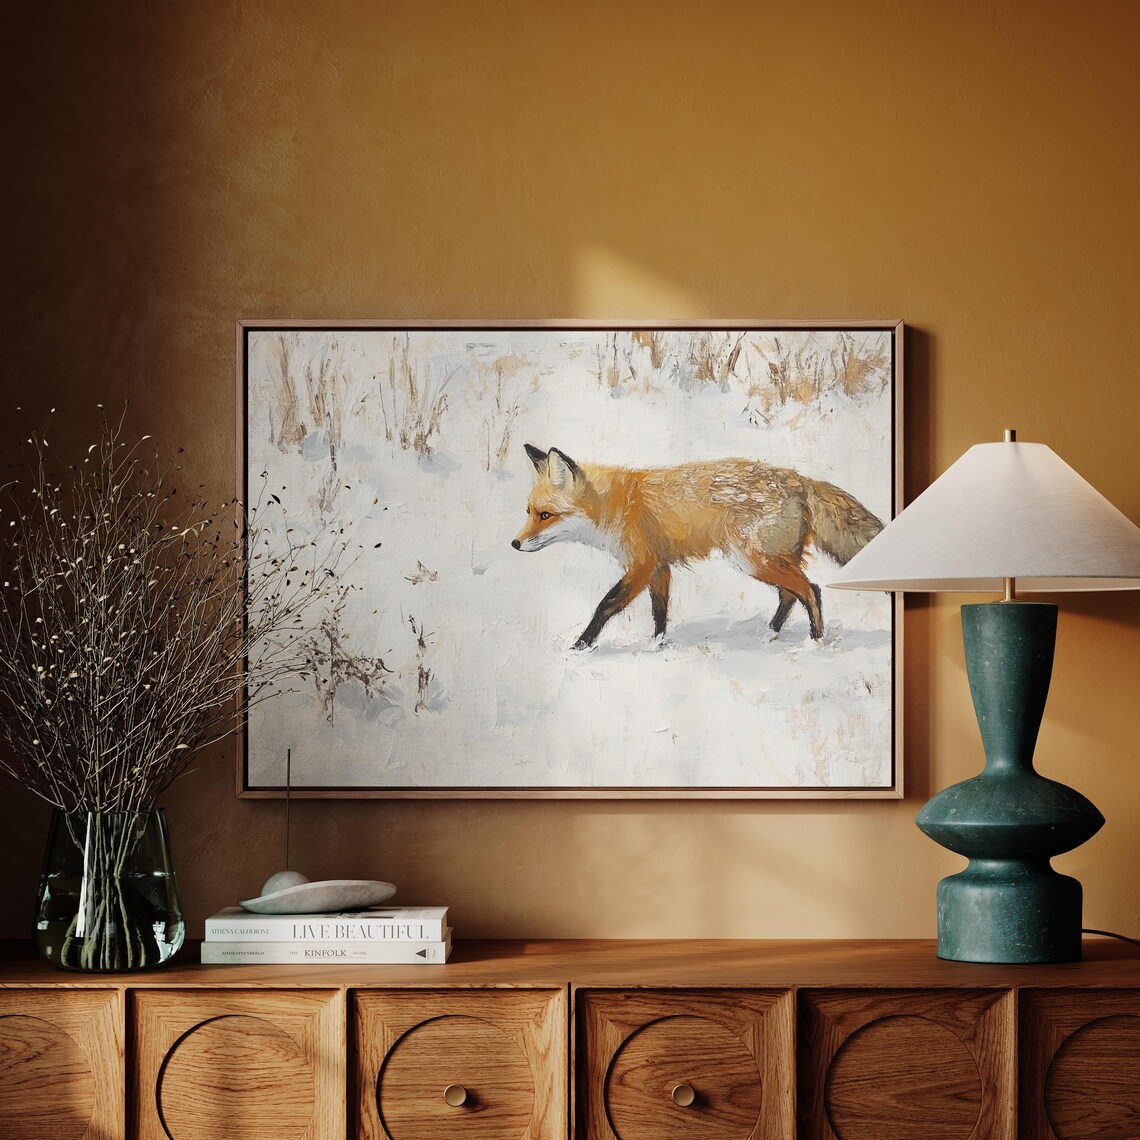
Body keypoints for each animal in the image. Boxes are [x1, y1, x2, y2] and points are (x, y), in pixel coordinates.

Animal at [511, 444, 883, 649]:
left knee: (811, 590)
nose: (515, 543)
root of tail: (797, 478)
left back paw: (816, 642)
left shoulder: (641, 564)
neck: (618, 505)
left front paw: (580, 646)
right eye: (529, 512)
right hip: (769, 559)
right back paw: (770, 635)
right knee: (790, 594)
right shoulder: (659, 566)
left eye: (546, 515)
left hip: (751, 559)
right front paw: (658, 647)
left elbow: (605, 605)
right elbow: (660, 611)